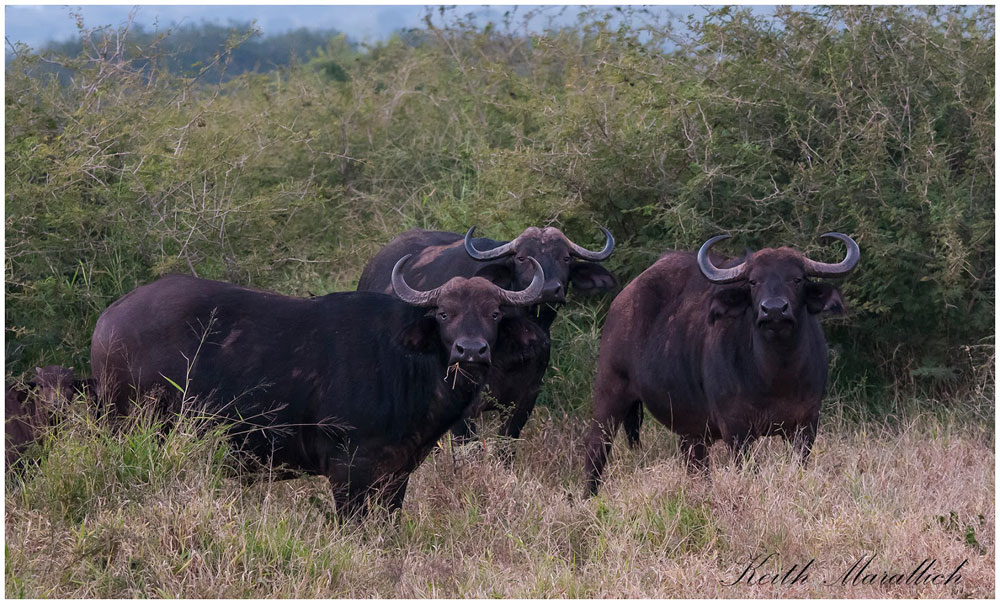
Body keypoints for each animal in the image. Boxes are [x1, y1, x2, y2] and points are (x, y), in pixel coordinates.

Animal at [91, 260, 552, 516]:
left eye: (494, 313)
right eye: (443, 313)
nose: (470, 350)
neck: (407, 365)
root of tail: (109, 319)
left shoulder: (396, 474)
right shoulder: (348, 472)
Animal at [356, 226, 612, 458]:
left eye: (566, 257)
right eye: (522, 258)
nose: (549, 290)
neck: (509, 352)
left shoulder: (525, 399)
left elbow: (506, 445)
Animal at [584, 234, 860, 494]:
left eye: (797, 279)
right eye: (753, 281)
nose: (773, 310)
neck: (776, 376)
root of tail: (622, 299)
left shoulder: (806, 424)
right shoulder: (736, 429)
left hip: (691, 426)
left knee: (695, 462)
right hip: (609, 391)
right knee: (596, 448)